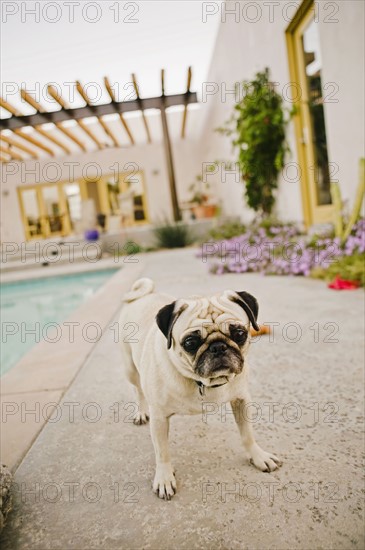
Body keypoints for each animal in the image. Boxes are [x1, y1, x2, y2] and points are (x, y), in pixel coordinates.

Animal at [118, 280, 280, 500]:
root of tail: (142, 295)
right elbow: (162, 452)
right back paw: (141, 412)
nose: (218, 347)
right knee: (138, 390)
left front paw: (258, 456)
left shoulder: (241, 400)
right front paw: (164, 478)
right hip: (130, 369)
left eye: (240, 334)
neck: (202, 382)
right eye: (190, 343)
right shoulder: (159, 418)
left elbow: (248, 435)